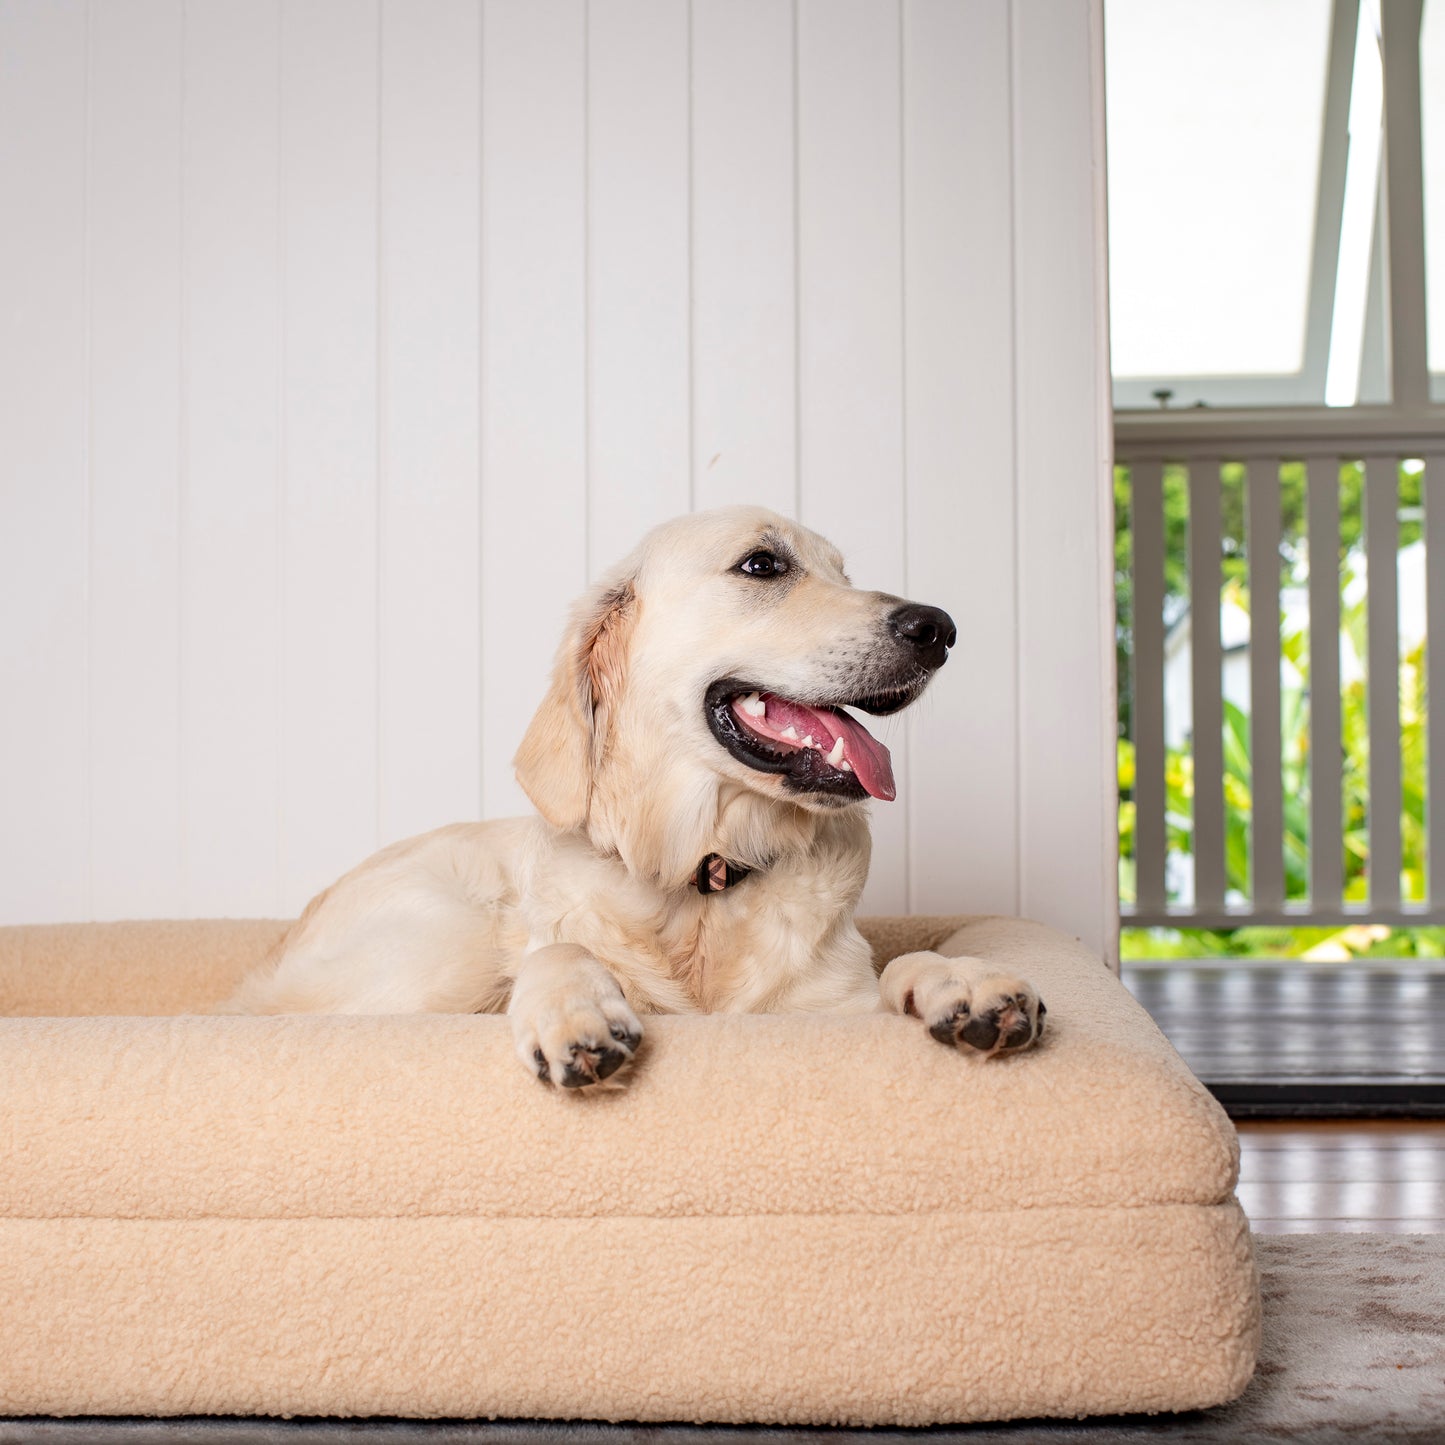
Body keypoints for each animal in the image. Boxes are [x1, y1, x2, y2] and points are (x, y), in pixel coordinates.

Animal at [222, 508, 1040, 1086]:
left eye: (842, 570)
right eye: (763, 564)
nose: (938, 628)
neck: (706, 878)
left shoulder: (828, 1007)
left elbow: (899, 968)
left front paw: (962, 982)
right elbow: (562, 950)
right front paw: (577, 1011)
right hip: (446, 946)